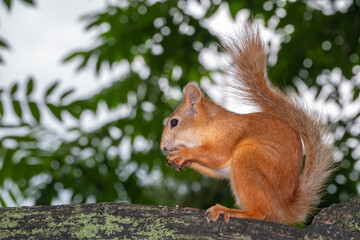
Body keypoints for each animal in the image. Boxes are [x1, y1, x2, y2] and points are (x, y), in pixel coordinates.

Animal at [159, 22, 336, 225]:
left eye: (174, 122)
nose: (163, 148)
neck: (207, 125)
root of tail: (285, 207)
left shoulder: (226, 133)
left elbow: (216, 154)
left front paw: (184, 153)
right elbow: (216, 169)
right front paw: (177, 159)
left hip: (248, 160)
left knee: (260, 212)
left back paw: (227, 210)